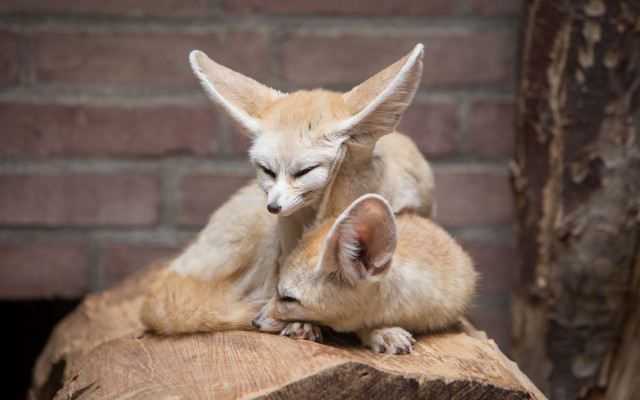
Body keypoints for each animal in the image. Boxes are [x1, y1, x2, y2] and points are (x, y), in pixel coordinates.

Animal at [141, 44, 436, 334]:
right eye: (267, 171)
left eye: (304, 171)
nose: (273, 207)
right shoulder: (287, 243)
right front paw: (301, 320)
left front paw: (382, 330)